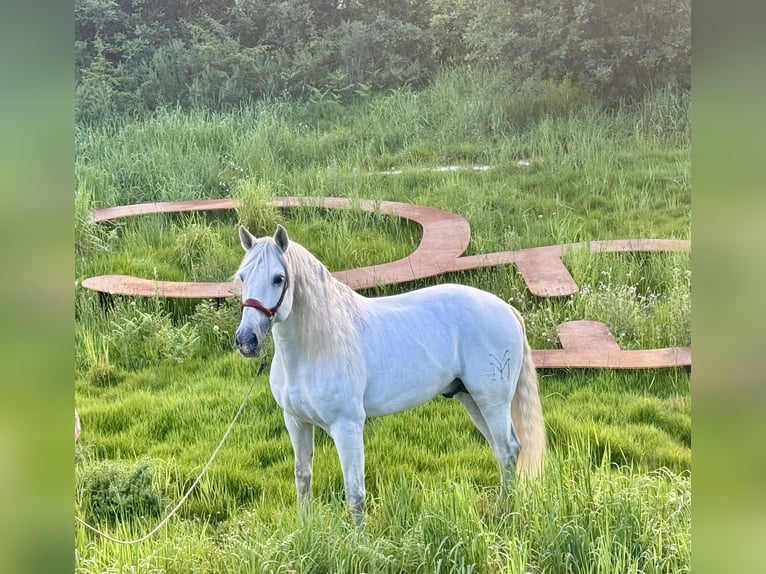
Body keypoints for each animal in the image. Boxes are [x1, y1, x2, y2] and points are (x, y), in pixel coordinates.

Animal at [234, 226, 544, 528]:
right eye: (242, 276)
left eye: (278, 279)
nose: (247, 340)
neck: (315, 347)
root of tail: (507, 309)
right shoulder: (296, 422)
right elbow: (303, 478)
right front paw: (304, 531)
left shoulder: (347, 426)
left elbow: (355, 493)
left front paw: (360, 543)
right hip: (471, 400)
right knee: (502, 450)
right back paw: (501, 508)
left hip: (492, 402)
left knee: (508, 450)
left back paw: (507, 514)